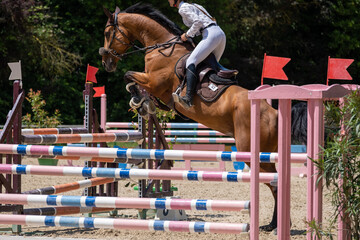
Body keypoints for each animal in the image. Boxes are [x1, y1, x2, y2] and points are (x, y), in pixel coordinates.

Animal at [100, 2, 306, 231]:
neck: (161, 48)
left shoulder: (154, 81)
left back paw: (277, 225)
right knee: (275, 181)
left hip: (252, 152)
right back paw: (273, 224)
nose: (106, 61)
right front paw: (144, 104)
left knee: (274, 182)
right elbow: (139, 88)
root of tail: (275, 113)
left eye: (108, 33)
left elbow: (128, 76)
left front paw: (139, 101)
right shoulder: (156, 88)